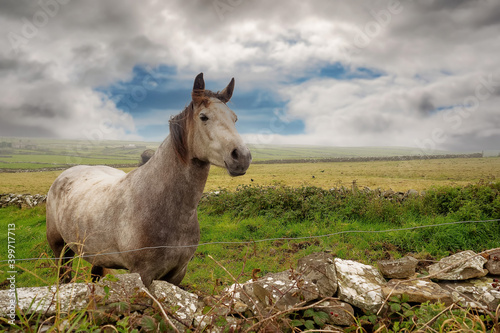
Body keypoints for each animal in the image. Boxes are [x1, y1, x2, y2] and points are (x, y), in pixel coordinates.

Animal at [45, 73, 252, 286]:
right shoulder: (143, 274)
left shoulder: (177, 274)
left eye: (234, 118)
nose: (242, 156)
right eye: (204, 117)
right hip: (61, 250)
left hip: (97, 256)